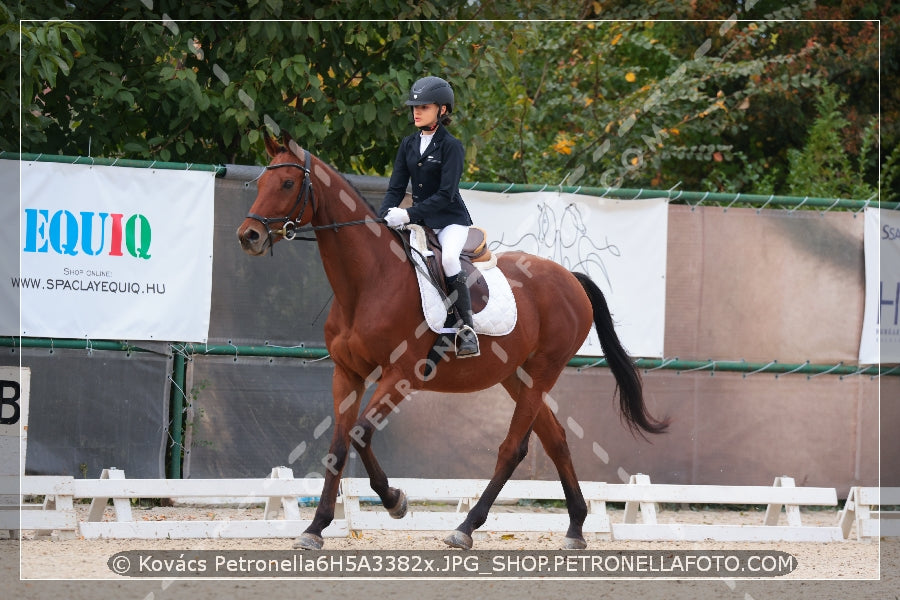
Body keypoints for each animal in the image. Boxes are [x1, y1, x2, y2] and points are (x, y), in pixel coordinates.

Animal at [236, 134, 664, 552]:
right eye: (261, 182)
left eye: (287, 183)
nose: (248, 236)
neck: (368, 283)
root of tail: (570, 278)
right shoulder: (348, 374)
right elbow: (338, 447)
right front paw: (316, 528)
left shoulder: (401, 374)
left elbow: (361, 434)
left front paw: (395, 501)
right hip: (518, 376)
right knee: (556, 439)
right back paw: (575, 528)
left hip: (543, 371)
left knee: (513, 447)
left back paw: (466, 528)